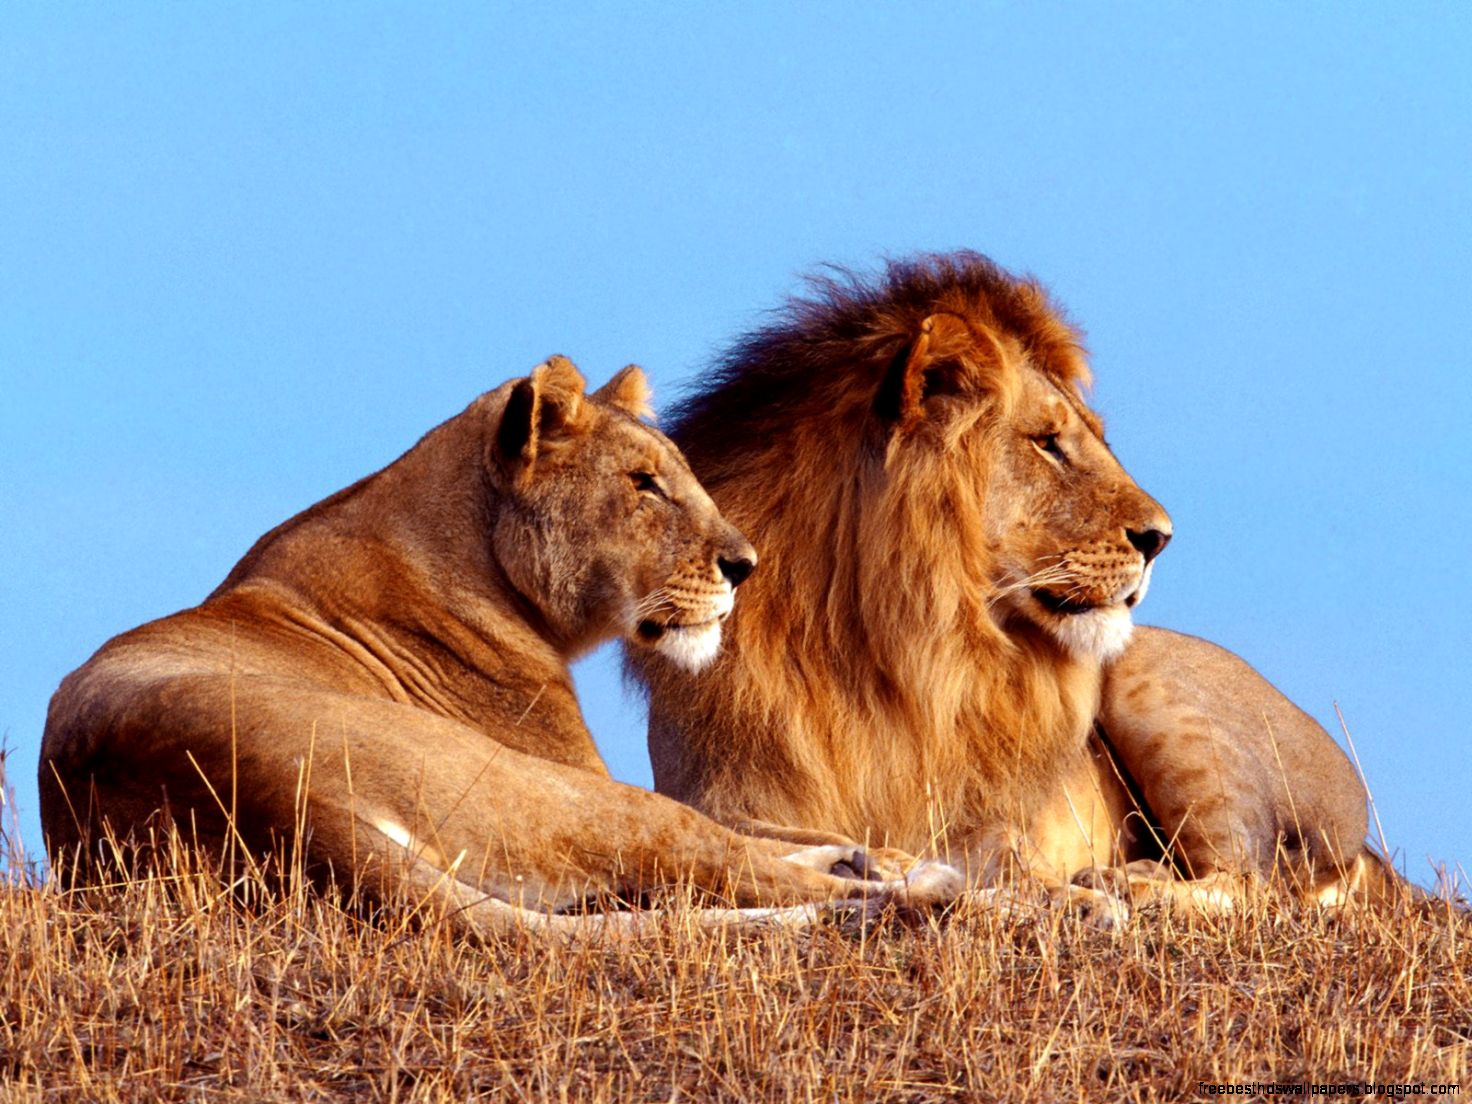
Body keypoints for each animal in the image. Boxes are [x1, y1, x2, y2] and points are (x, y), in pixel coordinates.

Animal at [39, 356, 962, 936]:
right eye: (643, 485)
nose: (746, 565)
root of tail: (275, 804)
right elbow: (740, 835)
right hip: (555, 794)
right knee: (717, 861)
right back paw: (920, 886)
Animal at [631, 252, 1400, 915]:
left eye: (1094, 436)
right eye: (1048, 442)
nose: (1161, 537)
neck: (880, 648)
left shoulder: (989, 820)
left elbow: (1001, 861)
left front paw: (1049, 895)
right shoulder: (713, 792)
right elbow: (752, 837)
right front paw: (868, 863)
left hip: (1151, 679)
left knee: (1254, 884)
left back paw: (1125, 884)